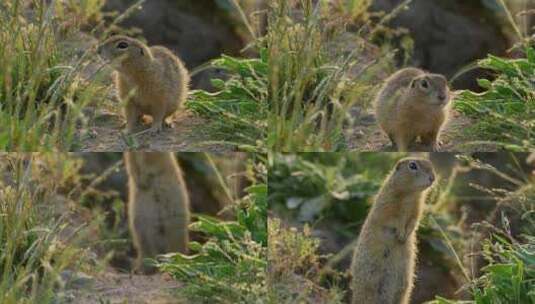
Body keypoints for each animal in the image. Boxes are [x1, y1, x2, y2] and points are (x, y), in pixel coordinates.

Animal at [352, 158, 436, 302]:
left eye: (431, 164)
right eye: (412, 165)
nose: (433, 178)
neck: (410, 194)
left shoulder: (416, 210)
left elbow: (413, 222)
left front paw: (405, 236)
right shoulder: (388, 206)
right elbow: (395, 220)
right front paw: (401, 234)